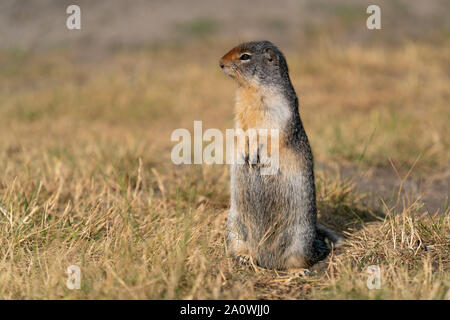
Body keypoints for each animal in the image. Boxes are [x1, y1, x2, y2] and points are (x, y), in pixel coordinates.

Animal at [220, 39, 342, 270]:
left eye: (245, 56)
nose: (220, 63)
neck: (249, 90)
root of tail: (268, 260)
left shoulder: (277, 108)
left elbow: (268, 132)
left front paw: (256, 153)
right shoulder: (239, 112)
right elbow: (240, 129)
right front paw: (244, 152)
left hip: (299, 238)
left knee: (298, 259)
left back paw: (298, 271)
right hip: (235, 225)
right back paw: (245, 257)